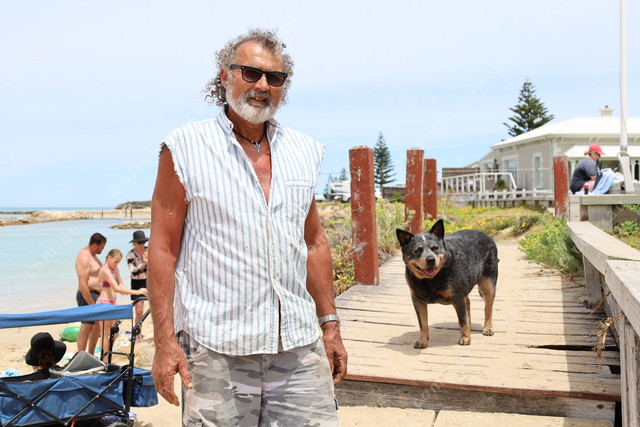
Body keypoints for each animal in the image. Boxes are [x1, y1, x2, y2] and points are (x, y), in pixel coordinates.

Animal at [396, 219, 498, 348]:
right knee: (468, 302)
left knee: (488, 307)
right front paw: (423, 340)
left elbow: (462, 320)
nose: (430, 259)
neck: (429, 281)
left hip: (488, 284)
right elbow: (423, 323)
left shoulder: (457, 297)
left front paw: (466, 338)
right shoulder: (417, 300)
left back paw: (488, 328)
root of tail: (486, 235)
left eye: (435, 248)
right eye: (417, 250)